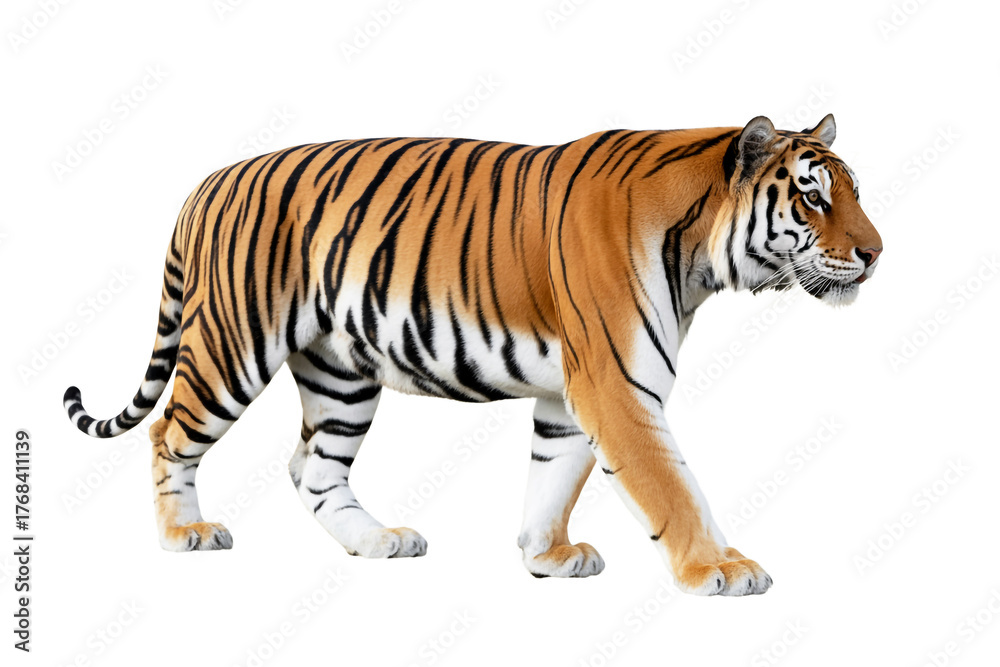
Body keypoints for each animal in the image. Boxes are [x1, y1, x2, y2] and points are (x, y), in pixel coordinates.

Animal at [64, 113, 882, 596]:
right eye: (813, 197)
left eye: (853, 193)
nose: (876, 253)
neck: (698, 253)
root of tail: (208, 182)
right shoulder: (617, 385)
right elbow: (671, 486)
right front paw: (720, 568)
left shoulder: (570, 393)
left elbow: (554, 477)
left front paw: (545, 556)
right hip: (232, 346)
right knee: (169, 433)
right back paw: (185, 535)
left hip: (342, 373)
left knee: (311, 466)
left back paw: (378, 541)